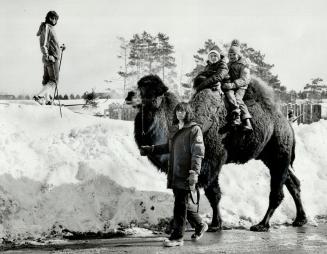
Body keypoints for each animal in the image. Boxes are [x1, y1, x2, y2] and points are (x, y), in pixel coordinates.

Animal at [125, 74, 308, 232]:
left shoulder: (211, 161)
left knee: (277, 191)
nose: (129, 94)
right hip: (269, 156)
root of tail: (287, 123)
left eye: (151, 90)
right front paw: (207, 224)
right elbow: (203, 194)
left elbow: (209, 194)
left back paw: (262, 225)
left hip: (279, 152)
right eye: (140, 84)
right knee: (293, 183)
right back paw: (300, 219)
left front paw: (206, 224)